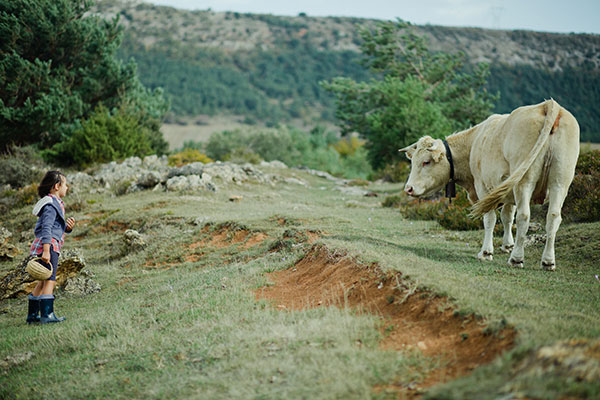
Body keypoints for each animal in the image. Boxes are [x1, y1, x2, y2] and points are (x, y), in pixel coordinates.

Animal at [400, 98, 580, 270]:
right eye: (413, 161)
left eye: (426, 162)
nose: (408, 188)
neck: (473, 144)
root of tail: (548, 105)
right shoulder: (508, 190)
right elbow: (507, 216)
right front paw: (507, 245)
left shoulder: (483, 187)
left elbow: (490, 218)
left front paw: (486, 252)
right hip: (560, 181)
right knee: (553, 216)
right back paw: (548, 261)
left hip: (524, 181)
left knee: (524, 216)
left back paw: (516, 259)